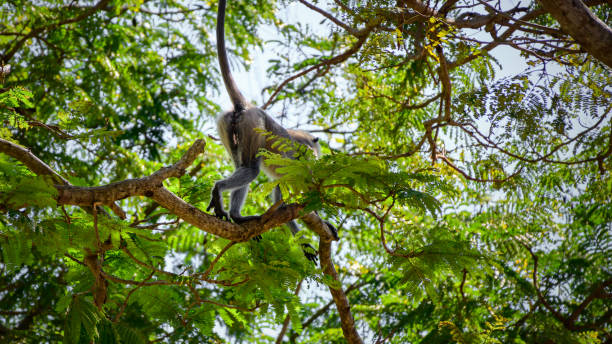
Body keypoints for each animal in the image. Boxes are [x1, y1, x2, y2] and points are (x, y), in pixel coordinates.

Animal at [208, 0, 338, 255]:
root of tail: (246, 107)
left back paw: (236, 216)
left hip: (228, 126)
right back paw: (220, 190)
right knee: (251, 169)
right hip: (254, 125)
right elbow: (291, 195)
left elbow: (282, 196)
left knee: (242, 166)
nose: (317, 154)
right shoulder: (303, 161)